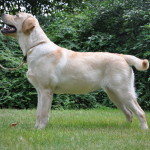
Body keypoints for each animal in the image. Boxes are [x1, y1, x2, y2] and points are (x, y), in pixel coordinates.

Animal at [0, 12, 149, 129]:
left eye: (16, 15)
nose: (2, 13)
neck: (34, 46)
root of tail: (122, 56)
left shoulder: (46, 90)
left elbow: (43, 113)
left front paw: (41, 129)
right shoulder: (40, 91)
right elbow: (38, 112)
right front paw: (35, 129)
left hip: (123, 92)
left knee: (140, 112)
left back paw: (143, 130)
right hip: (114, 94)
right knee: (129, 113)